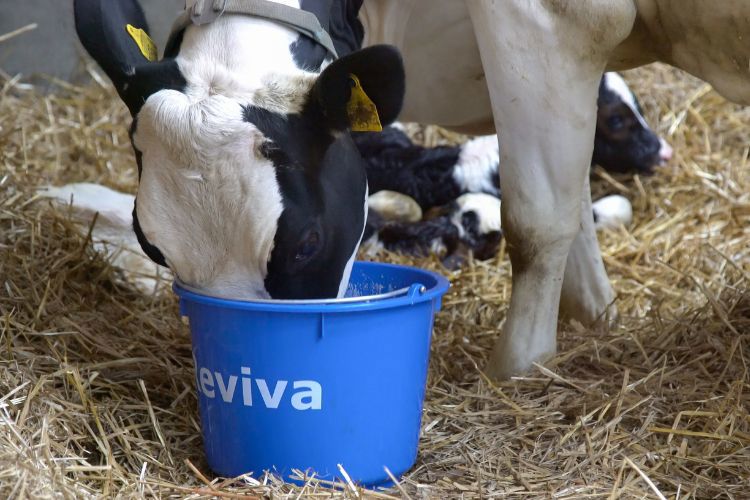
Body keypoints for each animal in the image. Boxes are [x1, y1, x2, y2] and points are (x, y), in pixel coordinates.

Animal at [74, 0, 750, 379]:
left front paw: (518, 372)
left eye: (306, 242)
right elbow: (566, 201)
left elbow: (541, 217)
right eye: (153, 246)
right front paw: (595, 321)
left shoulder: (548, 19)